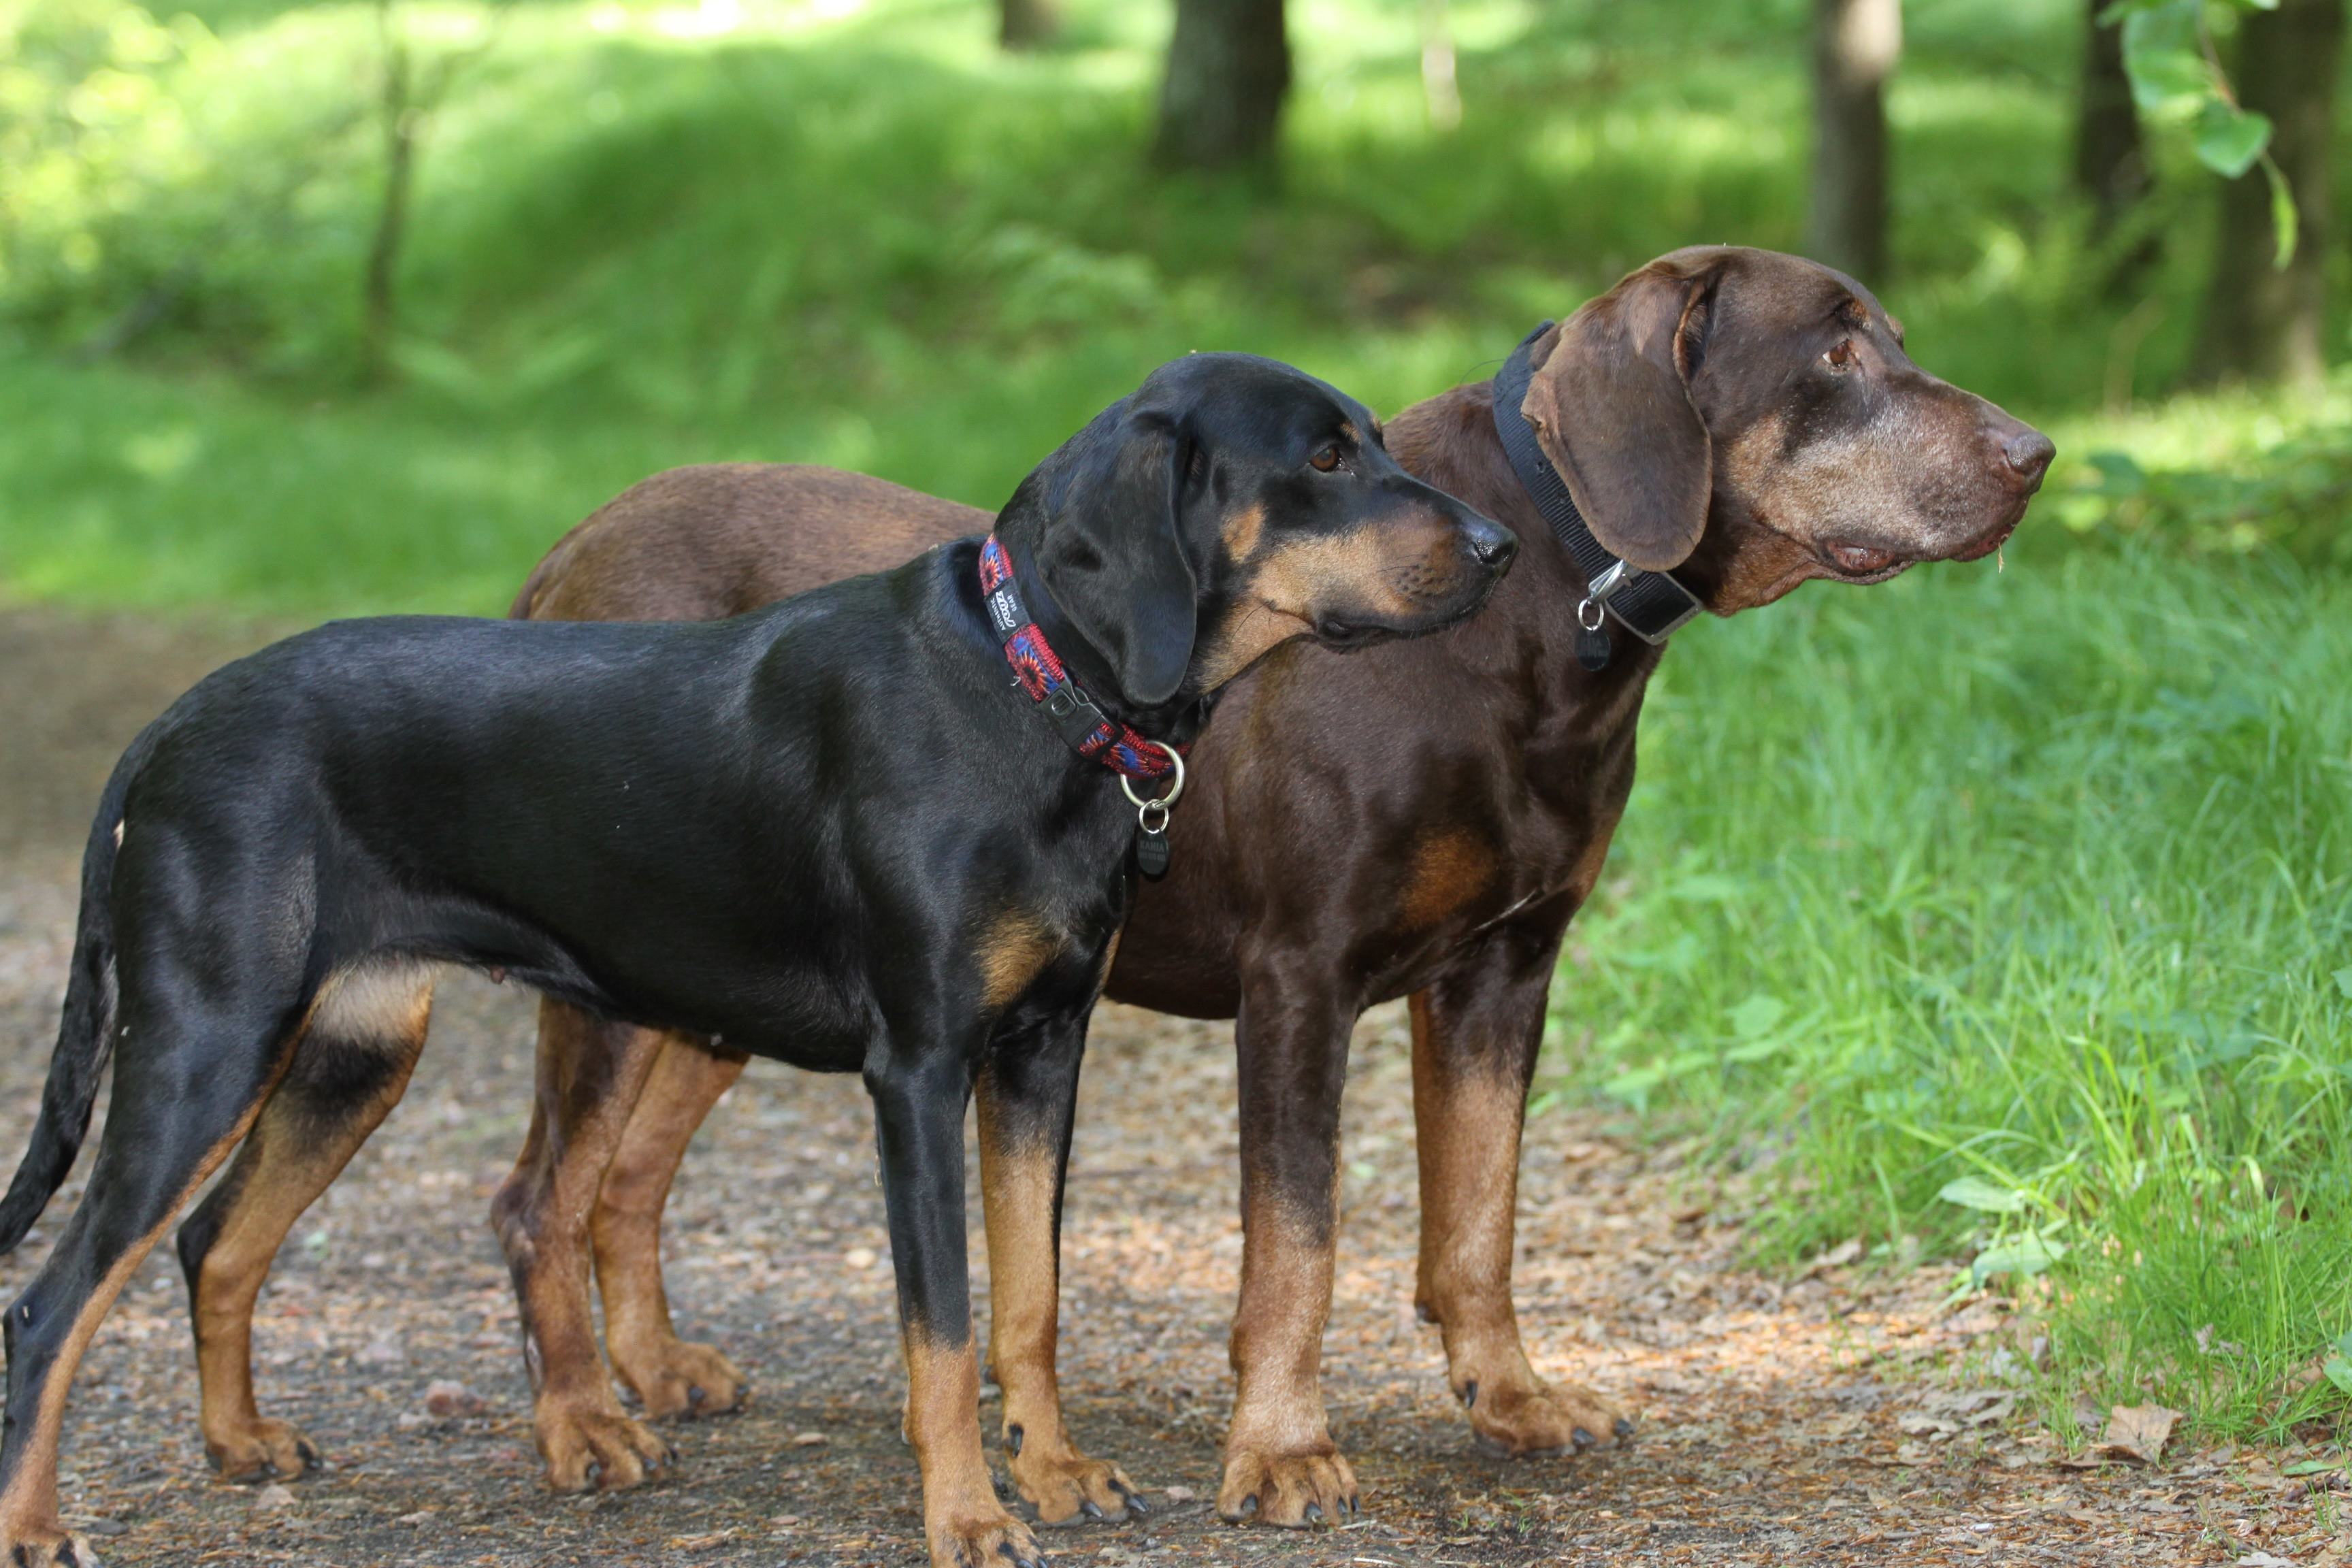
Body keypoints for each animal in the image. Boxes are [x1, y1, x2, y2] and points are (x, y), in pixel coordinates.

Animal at [0, 355, 1514, 1568]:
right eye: (1324, 459)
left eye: (1374, 440)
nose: (1503, 545)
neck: (1026, 690)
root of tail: (176, 723)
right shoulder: (918, 1073)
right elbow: (942, 1326)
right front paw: (968, 1516)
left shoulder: (1040, 1055)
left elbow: (1030, 1299)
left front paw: (1054, 1472)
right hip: (206, 1048)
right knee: (52, 1304)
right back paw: (37, 1525)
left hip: (349, 1048)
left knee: (213, 1238)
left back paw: (242, 1441)